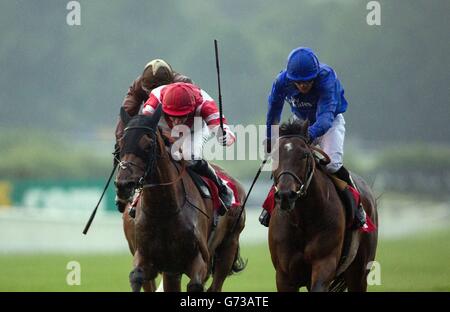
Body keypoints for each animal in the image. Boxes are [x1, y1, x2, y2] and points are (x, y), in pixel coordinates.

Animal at [112, 106, 246, 292]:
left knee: (215, 285)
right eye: (121, 143)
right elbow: (136, 277)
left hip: (229, 245)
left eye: (149, 144)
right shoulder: (146, 257)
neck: (163, 210)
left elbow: (196, 284)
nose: (124, 184)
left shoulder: (198, 259)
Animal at [268, 119, 378, 292]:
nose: (286, 195)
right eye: (273, 157)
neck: (302, 221)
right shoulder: (284, 275)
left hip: (359, 272)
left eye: (304, 155)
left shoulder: (325, 263)